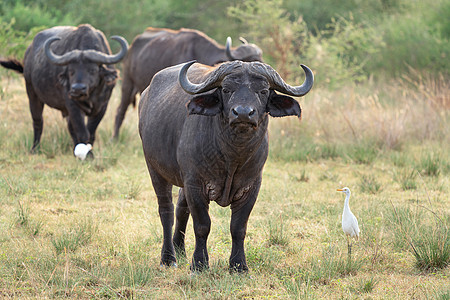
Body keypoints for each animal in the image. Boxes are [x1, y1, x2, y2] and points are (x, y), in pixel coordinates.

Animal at [1, 25, 128, 159]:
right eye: (71, 71)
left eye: (92, 70)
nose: (78, 88)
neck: (89, 95)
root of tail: (29, 53)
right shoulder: (72, 105)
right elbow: (83, 132)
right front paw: (87, 156)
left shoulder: (102, 106)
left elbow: (91, 132)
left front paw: (89, 154)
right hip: (32, 93)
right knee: (38, 122)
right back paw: (35, 149)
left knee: (70, 127)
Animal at [138, 60, 312, 272]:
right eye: (227, 89)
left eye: (263, 91)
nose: (243, 113)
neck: (232, 157)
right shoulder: (195, 184)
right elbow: (202, 225)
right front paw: (199, 264)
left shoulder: (252, 186)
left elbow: (238, 227)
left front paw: (239, 265)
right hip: (155, 170)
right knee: (166, 211)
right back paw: (168, 258)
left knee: (181, 209)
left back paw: (180, 250)